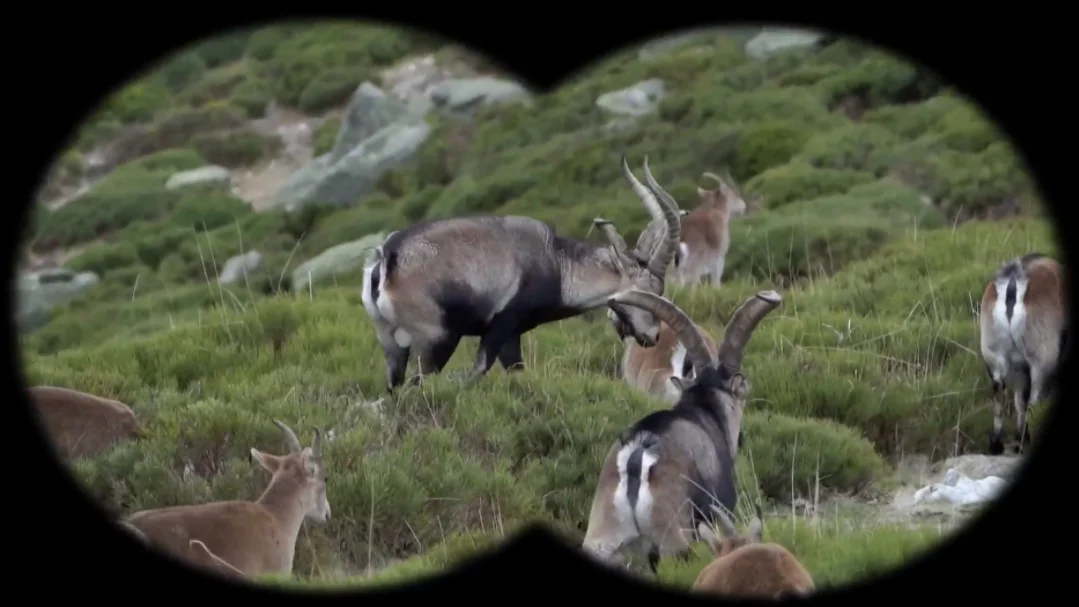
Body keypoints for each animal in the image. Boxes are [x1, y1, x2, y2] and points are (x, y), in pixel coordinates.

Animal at [361, 154, 682, 392]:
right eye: (647, 291)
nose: (652, 336)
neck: (557, 263)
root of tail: (388, 258)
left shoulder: (510, 337)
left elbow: (515, 370)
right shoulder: (502, 326)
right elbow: (479, 369)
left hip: (391, 343)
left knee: (394, 387)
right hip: (436, 340)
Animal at [980, 253, 1068, 455]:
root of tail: (1012, 287)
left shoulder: (1019, 366)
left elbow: (1019, 399)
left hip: (995, 359)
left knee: (1001, 397)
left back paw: (997, 444)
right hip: (1040, 362)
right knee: (1033, 401)